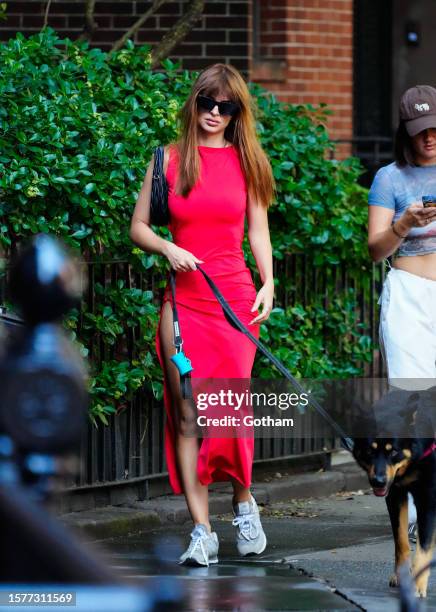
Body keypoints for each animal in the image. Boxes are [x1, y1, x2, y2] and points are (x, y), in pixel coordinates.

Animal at [352, 390, 434, 596]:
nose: (378, 481)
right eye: (369, 451)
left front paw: (418, 586)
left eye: (394, 451)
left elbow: (424, 546)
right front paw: (402, 577)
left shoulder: (427, 498)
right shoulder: (395, 496)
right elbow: (401, 542)